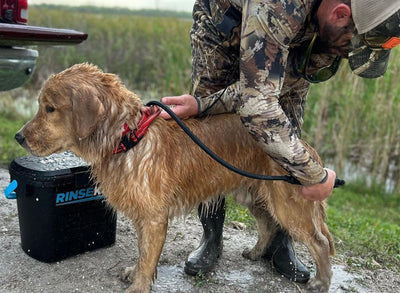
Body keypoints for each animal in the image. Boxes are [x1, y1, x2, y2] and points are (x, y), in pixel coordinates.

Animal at [15, 64, 334, 292]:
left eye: (50, 108)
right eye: (41, 105)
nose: (18, 137)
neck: (128, 138)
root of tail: (302, 144)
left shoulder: (154, 217)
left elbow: (147, 257)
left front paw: (138, 286)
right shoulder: (143, 215)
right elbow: (143, 252)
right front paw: (134, 274)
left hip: (288, 204)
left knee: (318, 242)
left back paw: (321, 281)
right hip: (252, 192)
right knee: (268, 224)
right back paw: (256, 252)